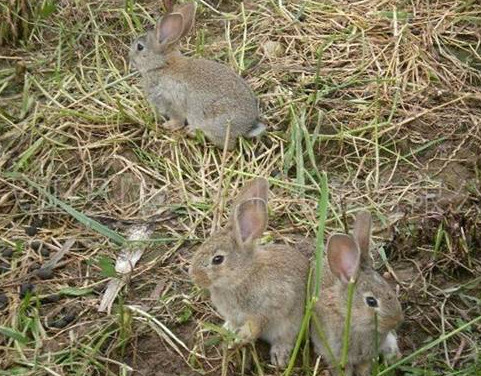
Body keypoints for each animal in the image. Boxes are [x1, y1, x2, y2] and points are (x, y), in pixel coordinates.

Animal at [129, 3, 264, 150]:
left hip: (213, 120)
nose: (130, 58)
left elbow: (178, 120)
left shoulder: (171, 102)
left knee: (227, 145)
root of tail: (247, 127)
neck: (161, 65)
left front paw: (168, 126)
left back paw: (192, 132)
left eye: (140, 47)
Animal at [188, 177, 308, 368]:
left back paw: (279, 357)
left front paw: (239, 338)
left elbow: (258, 323)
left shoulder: (270, 305)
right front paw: (228, 331)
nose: (194, 276)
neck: (242, 275)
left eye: (217, 259)